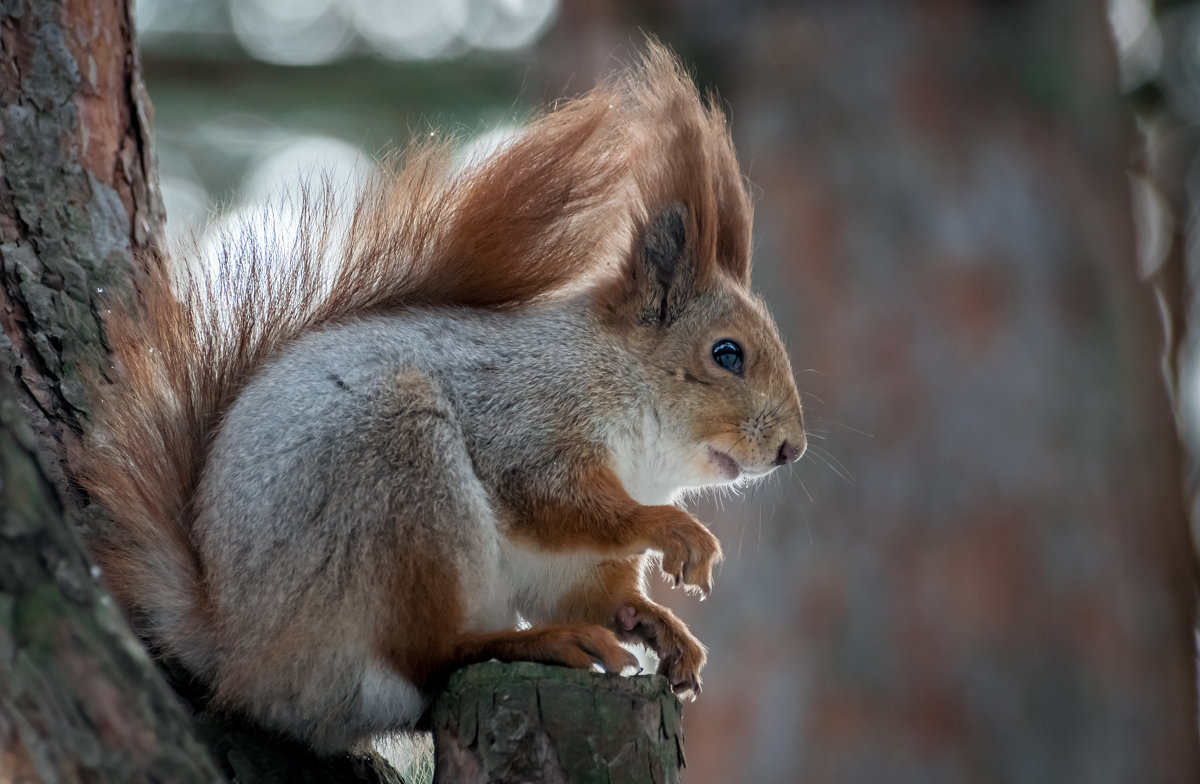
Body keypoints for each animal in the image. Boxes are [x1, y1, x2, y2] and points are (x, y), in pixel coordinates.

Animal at [72, 44, 806, 753]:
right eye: (727, 354)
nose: (791, 450)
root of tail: (240, 657)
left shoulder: (572, 564)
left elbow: (593, 590)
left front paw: (659, 626)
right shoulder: (525, 418)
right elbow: (558, 499)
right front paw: (678, 532)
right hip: (399, 489)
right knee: (429, 653)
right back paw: (533, 642)